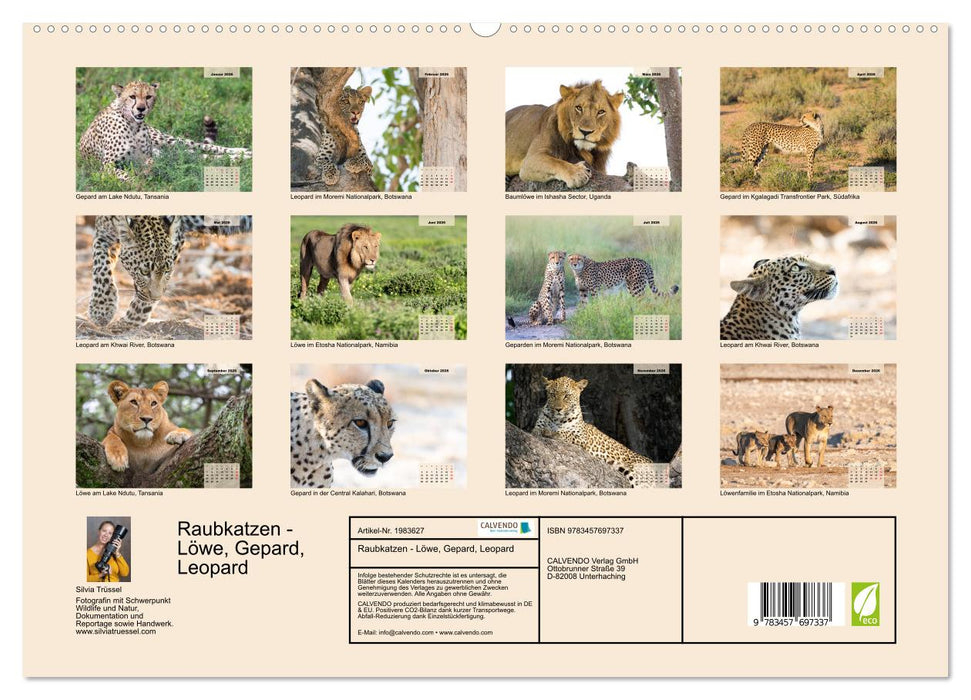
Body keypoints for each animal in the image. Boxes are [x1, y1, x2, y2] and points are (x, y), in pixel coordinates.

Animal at [79, 81, 252, 181]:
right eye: (132, 96)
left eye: (148, 97)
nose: (141, 109)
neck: (133, 125)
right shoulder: (106, 166)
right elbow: (127, 174)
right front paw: (139, 181)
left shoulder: (145, 158)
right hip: (174, 153)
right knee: (204, 158)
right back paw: (240, 158)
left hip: (170, 141)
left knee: (209, 148)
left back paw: (244, 152)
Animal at [87, 215, 253, 330]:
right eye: (144, 271)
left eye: (167, 270)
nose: (156, 298)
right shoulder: (103, 232)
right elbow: (100, 266)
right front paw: (101, 309)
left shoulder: (178, 236)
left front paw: (131, 321)